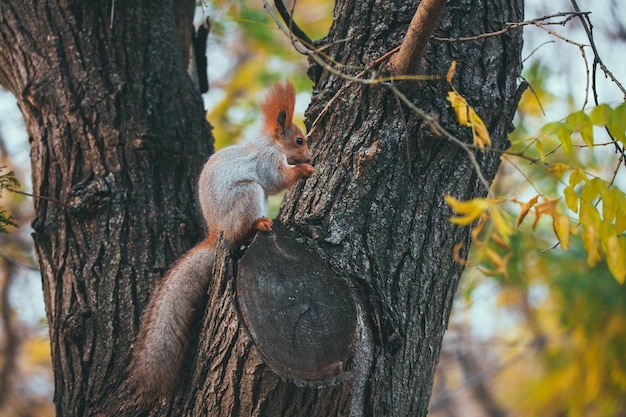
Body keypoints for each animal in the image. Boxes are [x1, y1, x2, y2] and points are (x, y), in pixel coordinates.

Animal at [127, 79, 314, 402]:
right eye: (299, 140)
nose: (310, 156)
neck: (271, 144)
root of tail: (217, 234)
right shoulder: (267, 163)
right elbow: (277, 180)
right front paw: (304, 170)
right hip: (248, 195)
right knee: (244, 228)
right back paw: (261, 224)